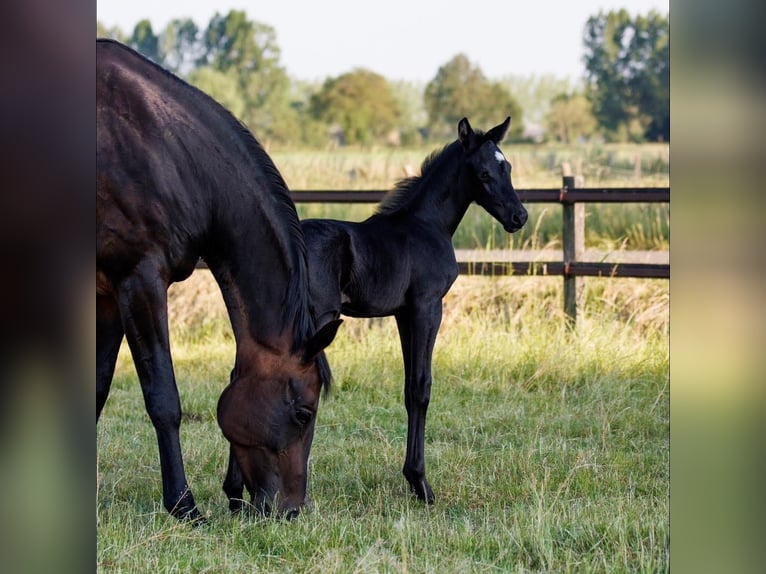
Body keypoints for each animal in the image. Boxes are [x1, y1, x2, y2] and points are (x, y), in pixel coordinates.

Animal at [96, 39, 341, 522]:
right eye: (304, 413)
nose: (291, 511)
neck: (162, 151)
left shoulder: (109, 292)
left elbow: (96, 389)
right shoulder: (139, 281)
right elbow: (163, 400)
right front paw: (183, 505)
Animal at [224, 117, 528, 506]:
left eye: (508, 167)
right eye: (485, 173)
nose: (519, 217)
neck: (427, 225)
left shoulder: (403, 314)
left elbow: (409, 389)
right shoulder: (428, 307)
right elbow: (421, 387)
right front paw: (421, 484)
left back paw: (235, 495)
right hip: (315, 319)